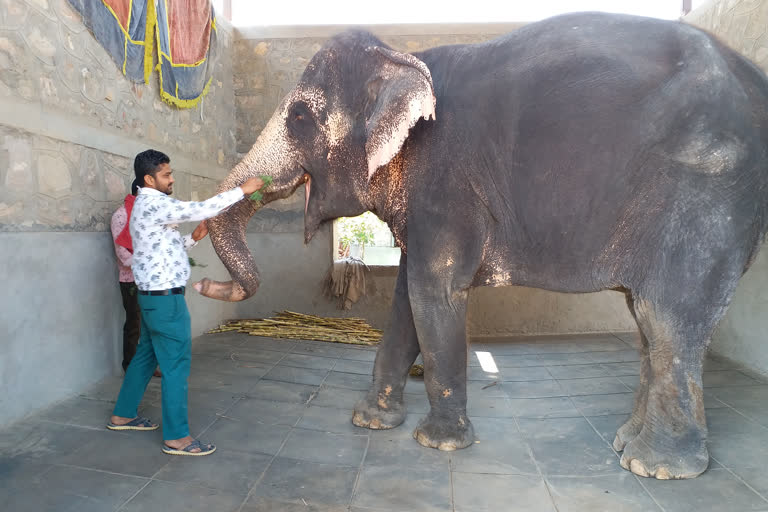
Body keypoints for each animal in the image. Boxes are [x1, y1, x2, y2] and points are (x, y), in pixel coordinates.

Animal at [195, 12, 768, 482]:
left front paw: (439, 443)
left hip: (706, 190)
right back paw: (628, 445)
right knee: (647, 321)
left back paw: (656, 467)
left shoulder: (446, 180)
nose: (202, 281)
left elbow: (433, 291)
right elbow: (405, 297)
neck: (403, 59)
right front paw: (372, 421)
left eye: (298, 117)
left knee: (665, 315)